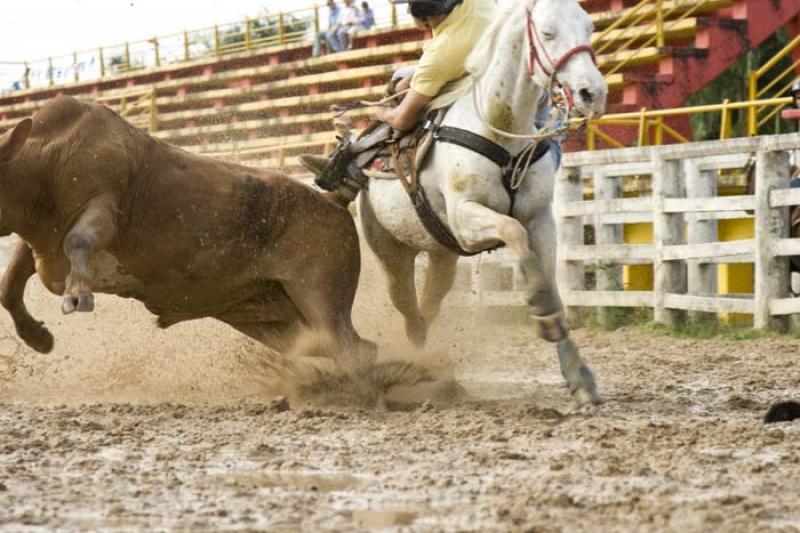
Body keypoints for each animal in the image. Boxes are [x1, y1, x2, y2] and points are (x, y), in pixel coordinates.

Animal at [0, 96, 372, 354]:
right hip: (270, 319)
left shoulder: (104, 208)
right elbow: (9, 285)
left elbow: (78, 239)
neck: (47, 162)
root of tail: (331, 200)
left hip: (321, 297)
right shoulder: (38, 243)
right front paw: (38, 337)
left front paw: (78, 295)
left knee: (352, 349)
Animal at [356, 0, 608, 404]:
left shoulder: (541, 220)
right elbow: (513, 231)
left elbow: (549, 278)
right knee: (410, 312)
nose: (592, 93)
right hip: (390, 252)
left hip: (441, 254)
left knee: (428, 307)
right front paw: (542, 312)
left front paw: (579, 374)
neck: (495, 125)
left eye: (588, 27)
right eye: (548, 32)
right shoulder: (466, 220)